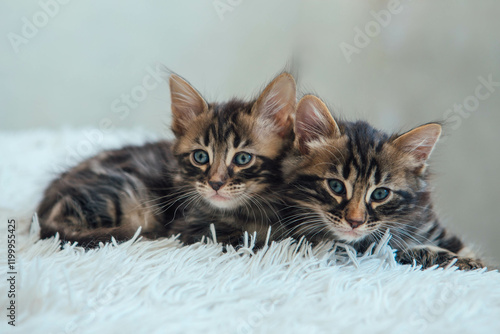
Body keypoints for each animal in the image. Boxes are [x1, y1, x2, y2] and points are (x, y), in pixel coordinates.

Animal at [40, 72, 296, 247]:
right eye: (200, 156)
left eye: (243, 158)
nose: (215, 183)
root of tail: (44, 210)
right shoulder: (191, 227)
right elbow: (254, 238)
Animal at [280, 95, 482, 270]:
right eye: (336, 186)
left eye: (380, 194)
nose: (354, 222)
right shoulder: (359, 249)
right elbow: (404, 251)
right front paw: (462, 261)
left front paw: (469, 261)